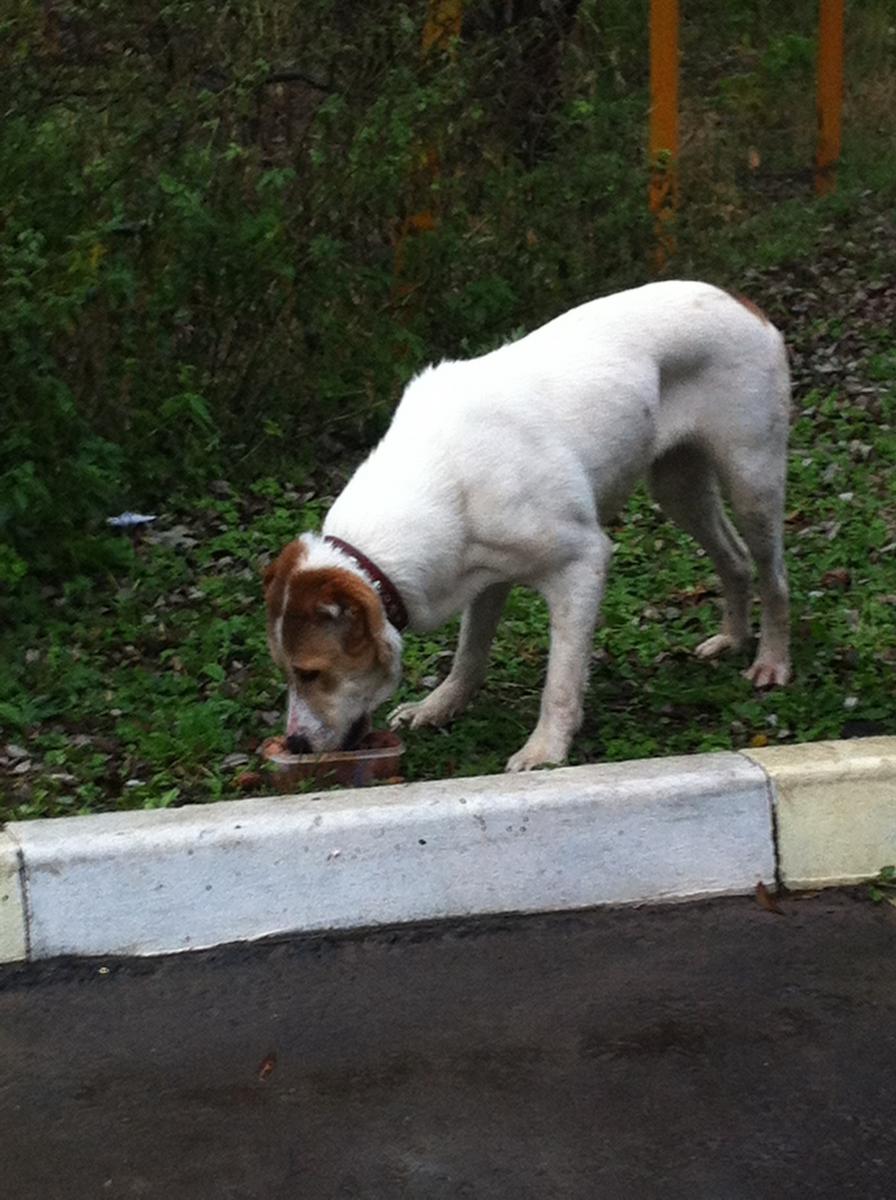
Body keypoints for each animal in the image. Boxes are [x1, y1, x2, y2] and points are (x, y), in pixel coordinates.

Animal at [264, 280, 791, 771]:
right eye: (288, 673)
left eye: (311, 673)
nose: (295, 745)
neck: (444, 480)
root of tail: (740, 300)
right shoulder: (483, 578)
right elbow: (469, 654)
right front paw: (441, 705)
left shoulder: (583, 564)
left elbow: (560, 681)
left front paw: (546, 748)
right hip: (678, 488)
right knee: (735, 560)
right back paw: (733, 638)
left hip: (752, 481)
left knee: (773, 577)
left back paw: (772, 661)